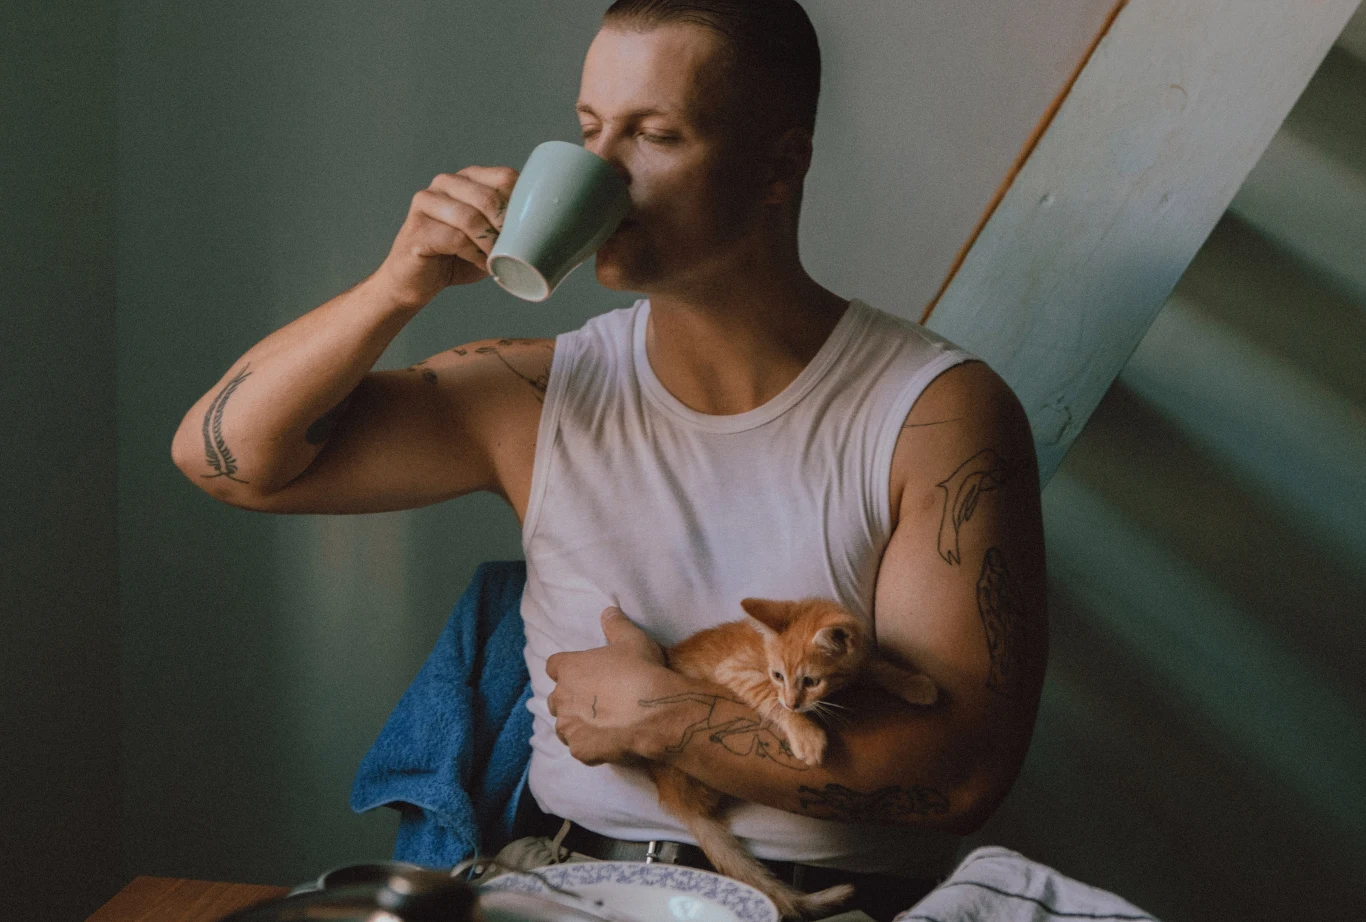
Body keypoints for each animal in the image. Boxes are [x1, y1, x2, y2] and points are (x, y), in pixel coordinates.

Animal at [646, 596, 939, 919]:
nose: (792, 702)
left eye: (810, 681)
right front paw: (806, 734)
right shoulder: (736, 670)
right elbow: (768, 696)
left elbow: (872, 665)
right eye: (777, 676)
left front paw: (914, 683)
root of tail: (675, 798)